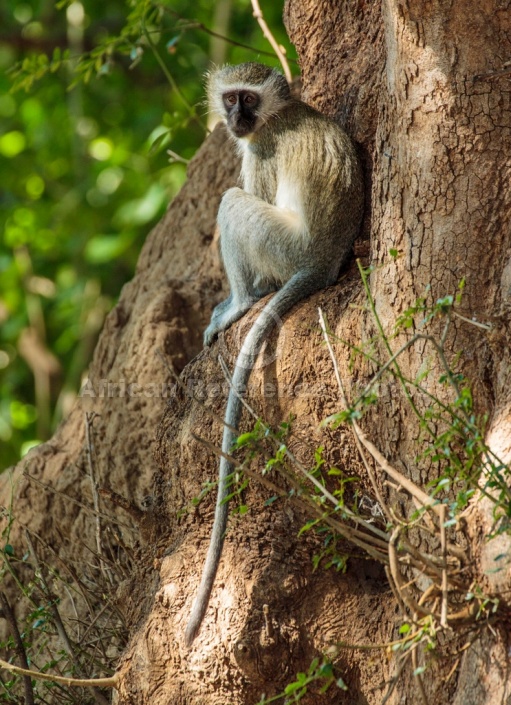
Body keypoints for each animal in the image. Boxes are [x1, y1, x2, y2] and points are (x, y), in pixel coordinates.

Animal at [185, 63, 364, 648]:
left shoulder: (258, 152)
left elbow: (246, 188)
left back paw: (241, 303)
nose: (236, 119)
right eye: (230, 99)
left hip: (284, 247)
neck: (278, 115)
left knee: (232, 203)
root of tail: (323, 262)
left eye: (248, 99)